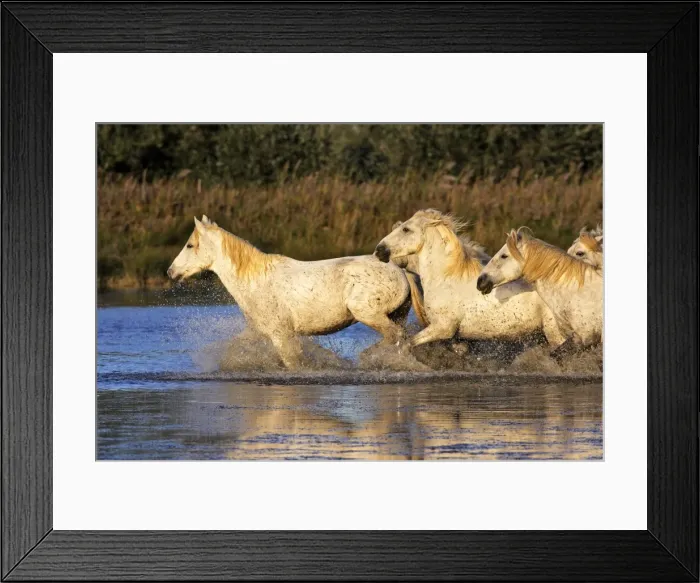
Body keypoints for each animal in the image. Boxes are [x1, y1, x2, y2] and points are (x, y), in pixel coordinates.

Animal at [168, 216, 417, 368]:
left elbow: (293, 364)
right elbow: (233, 347)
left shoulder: (281, 336)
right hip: (396, 315)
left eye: (190, 245)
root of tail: (399, 270)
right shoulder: (256, 332)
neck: (255, 281)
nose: (171, 272)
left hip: (369, 315)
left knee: (395, 337)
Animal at [374, 210, 564, 348]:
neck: (444, 279)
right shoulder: (456, 337)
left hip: (555, 332)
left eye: (406, 229)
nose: (379, 250)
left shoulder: (443, 328)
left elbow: (407, 344)